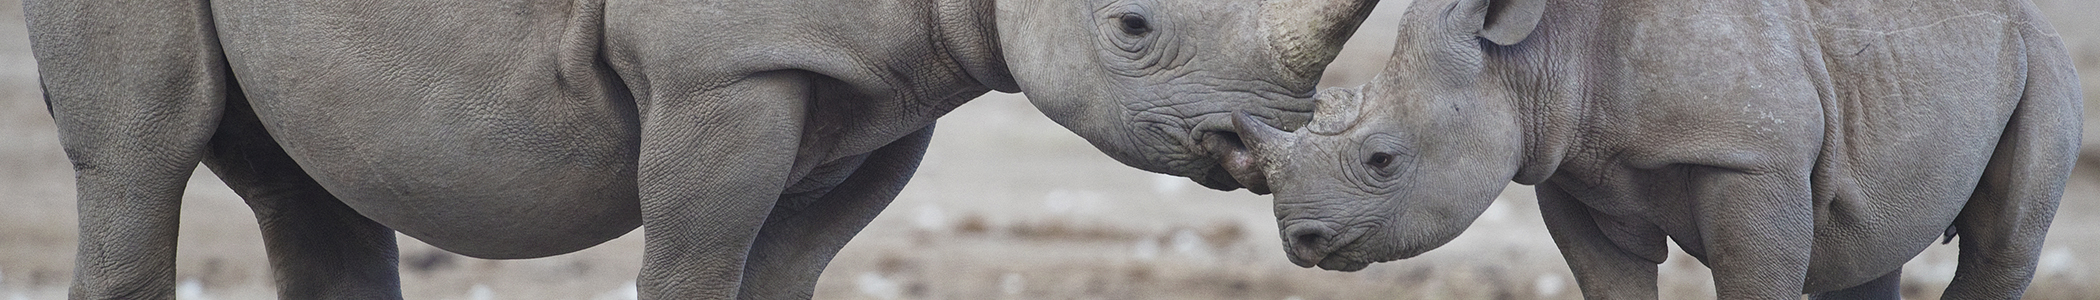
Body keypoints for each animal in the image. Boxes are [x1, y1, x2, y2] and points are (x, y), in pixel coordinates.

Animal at [1226, 0, 2083, 297]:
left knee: (2004, 242)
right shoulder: (1565, 168)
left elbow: (1757, 279)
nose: (1300, 241)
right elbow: (1610, 281)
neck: (1528, 55)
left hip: (2043, 53)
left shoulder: (1751, 158)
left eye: (1383, 160)